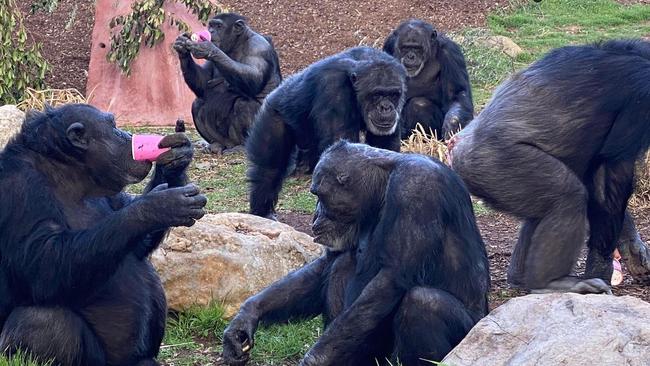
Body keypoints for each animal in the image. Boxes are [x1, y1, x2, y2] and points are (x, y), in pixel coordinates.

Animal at [0, 104, 208, 364]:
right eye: (114, 127)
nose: (128, 135)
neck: (69, 173)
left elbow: (135, 245)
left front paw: (175, 158)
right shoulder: (18, 187)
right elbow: (44, 262)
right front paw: (157, 206)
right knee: (41, 319)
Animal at [173, 13, 282, 154]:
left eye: (219, 26)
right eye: (211, 25)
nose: (211, 31)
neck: (237, 43)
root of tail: (230, 145)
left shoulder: (258, 47)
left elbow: (255, 78)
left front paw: (207, 48)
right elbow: (204, 83)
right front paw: (182, 48)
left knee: (244, 105)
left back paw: (243, 146)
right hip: (225, 140)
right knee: (198, 103)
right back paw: (215, 145)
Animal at [221, 141, 486, 366]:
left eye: (319, 195)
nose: (315, 215)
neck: (384, 185)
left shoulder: (418, 188)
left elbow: (390, 277)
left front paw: (314, 361)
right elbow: (325, 263)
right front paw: (245, 318)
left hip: (465, 336)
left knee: (424, 302)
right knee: (342, 263)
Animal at [448, 38, 648, 294]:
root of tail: (455, 145)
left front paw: (632, 247)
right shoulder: (640, 98)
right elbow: (610, 175)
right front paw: (601, 267)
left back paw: (522, 278)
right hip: (495, 165)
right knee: (568, 197)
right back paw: (552, 282)